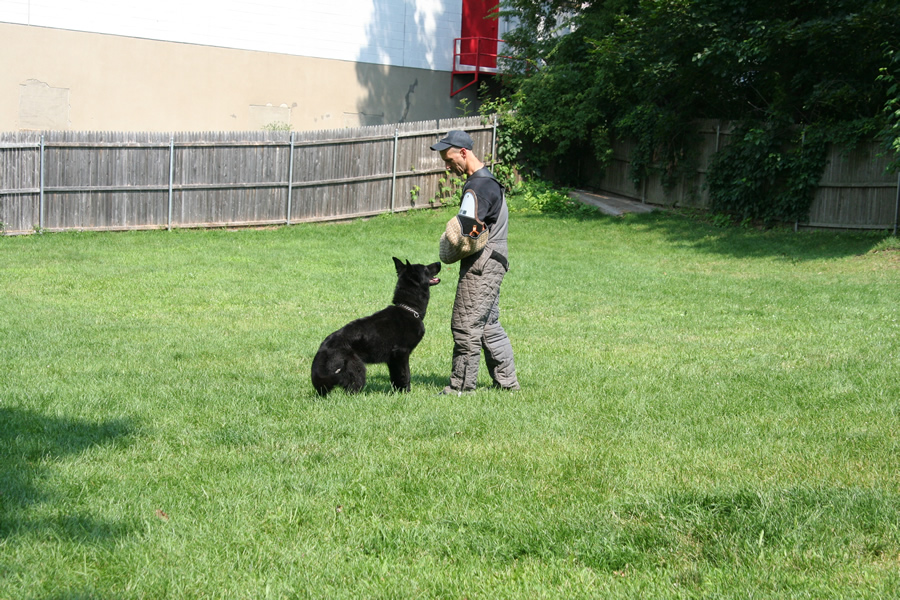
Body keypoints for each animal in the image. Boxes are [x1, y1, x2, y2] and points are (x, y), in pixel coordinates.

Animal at [312, 256, 442, 394]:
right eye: (426, 268)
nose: (439, 262)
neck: (408, 308)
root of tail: (322, 349)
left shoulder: (393, 360)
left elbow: (396, 378)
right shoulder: (401, 354)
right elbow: (405, 375)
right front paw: (406, 393)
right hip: (357, 368)